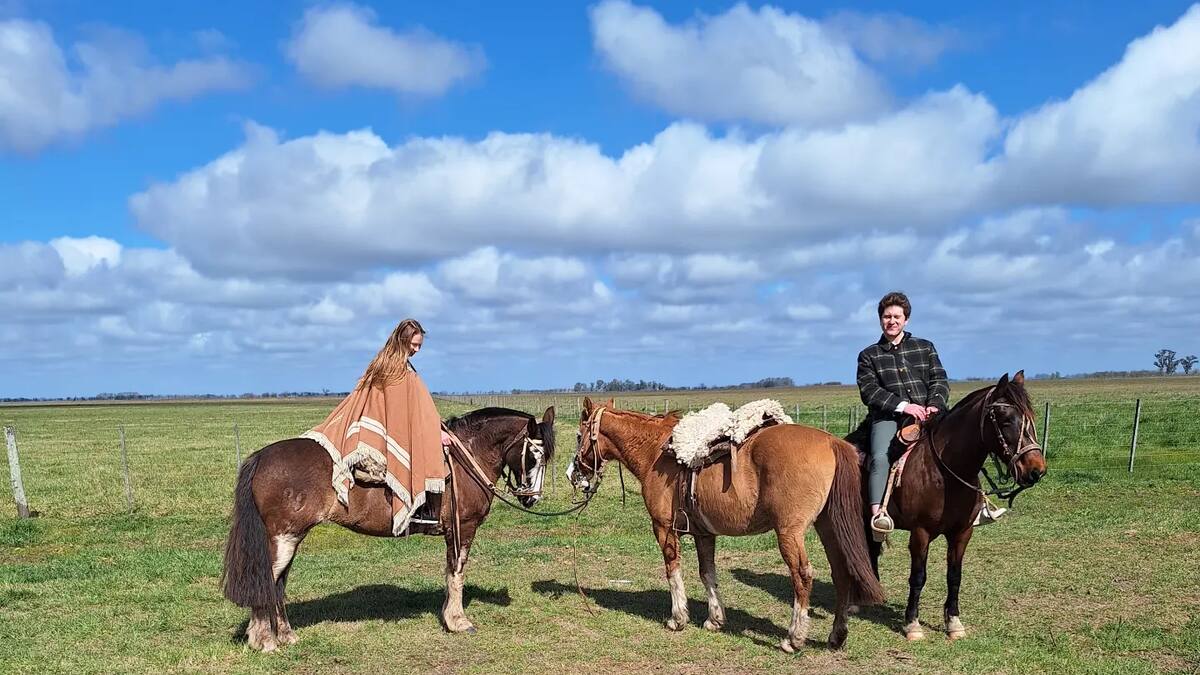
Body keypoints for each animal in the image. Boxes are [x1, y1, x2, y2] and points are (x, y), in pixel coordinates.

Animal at [221, 406, 556, 652]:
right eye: (534, 455)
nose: (532, 498)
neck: (465, 460)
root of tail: (262, 456)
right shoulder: (464, 529)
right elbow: (456, 574)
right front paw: (458, 621)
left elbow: (449, 574)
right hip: (283, 538)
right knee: (267, 581)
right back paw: (264, 641)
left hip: (289, 539)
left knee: (277, 584)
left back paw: (285, 636)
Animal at [566, 397, 885, 653]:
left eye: (579, 435)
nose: (572, 473)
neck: (656, 451)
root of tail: (832, 441)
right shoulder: (704, 533)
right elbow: (707, 572)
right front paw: (714, 619)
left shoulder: (664, 528)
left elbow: (672, 571)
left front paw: (678, 619)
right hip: (828, 527)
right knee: (841, 573)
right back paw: (837, 636)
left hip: (790, 533)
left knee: (802, 576)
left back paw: (793, 639)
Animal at [847, 371, 1047, 641]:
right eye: (1006, 421)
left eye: (1031, 418)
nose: (1036, 470)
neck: (945, 472)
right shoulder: (920, 533)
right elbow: (918, 577)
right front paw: (912, 624)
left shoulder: (962, 533)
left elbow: (955, 576)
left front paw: (953, 622)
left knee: (872, 549)